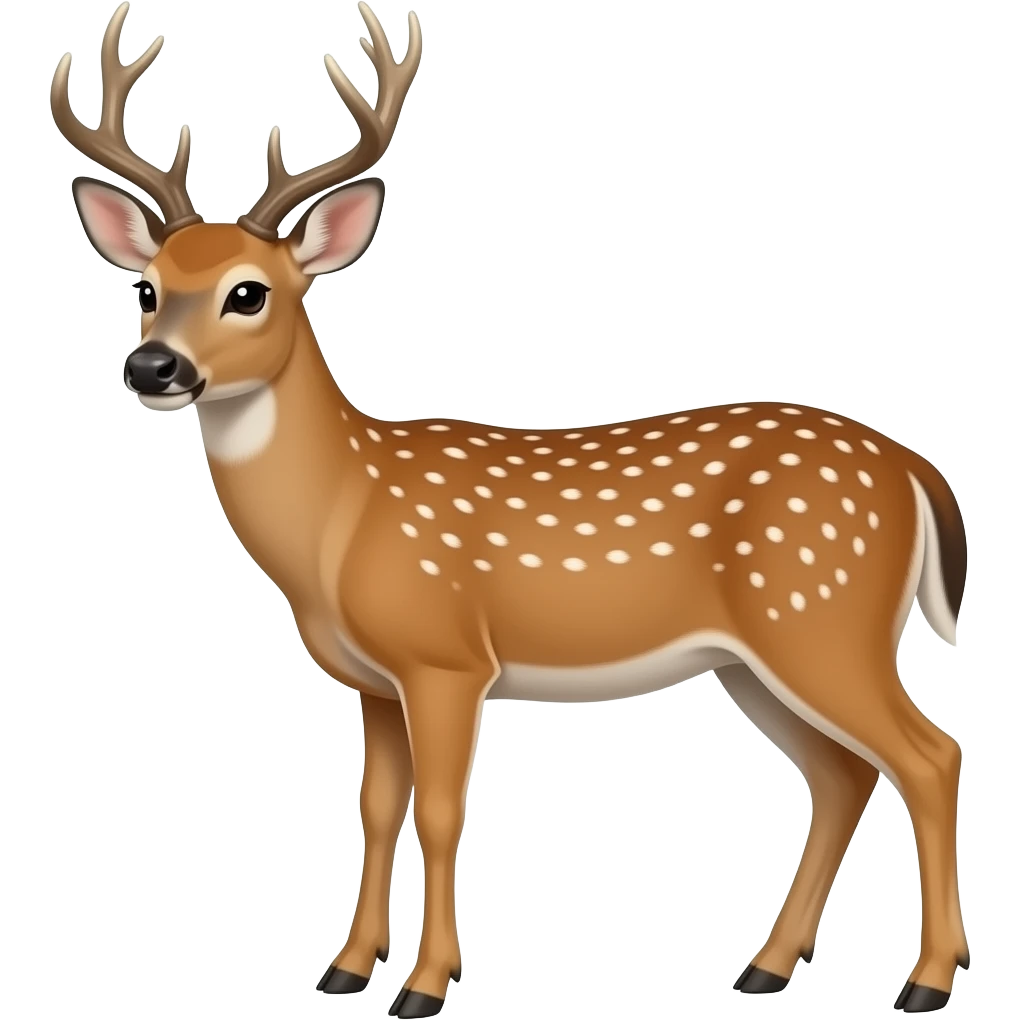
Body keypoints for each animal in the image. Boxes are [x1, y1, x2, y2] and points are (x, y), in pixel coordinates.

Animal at [51, 5, 971, 1017]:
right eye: (147, 289)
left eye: (247, 292)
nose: (153, 368)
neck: (342, 520)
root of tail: (914, 469)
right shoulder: (375, 682)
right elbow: (376, 809)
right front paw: (345, 969)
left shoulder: (447, 656)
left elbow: (442, 811)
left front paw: (425, 985)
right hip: (757, 657)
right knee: (844, 775)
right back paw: (765, 967)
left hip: (823, 615)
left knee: (930, 756)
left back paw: (925, 981)